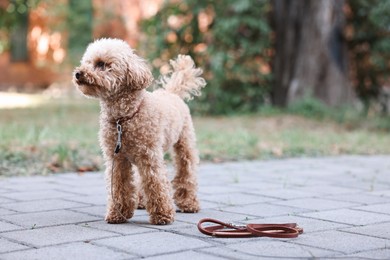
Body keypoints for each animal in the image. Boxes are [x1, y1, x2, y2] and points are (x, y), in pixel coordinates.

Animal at [74, 38, 207, 223]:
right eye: (86, 62)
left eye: (101, 64)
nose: (78, 73)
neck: (123, 118)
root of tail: (172, 93)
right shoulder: (117, 159)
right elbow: (120, 185)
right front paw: (118, 213)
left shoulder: (149, 156)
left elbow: (155, 183)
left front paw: (162, 214)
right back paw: (142, 203)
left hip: (184, 143)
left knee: (186, 171)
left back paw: (188, 203)